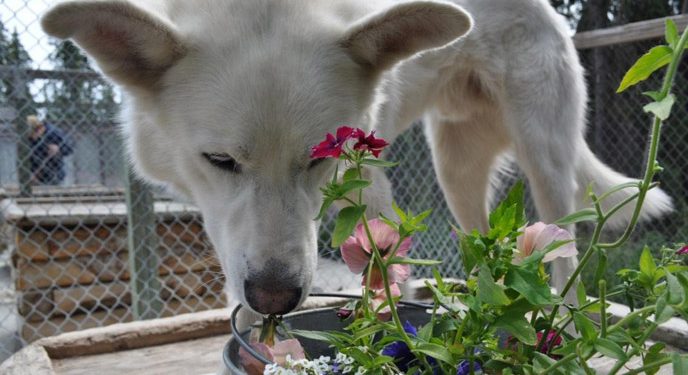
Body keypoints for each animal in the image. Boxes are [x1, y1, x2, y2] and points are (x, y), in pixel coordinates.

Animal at [40, 0, 668, 318]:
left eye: (320, 158)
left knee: (564, 252)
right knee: (484, 242)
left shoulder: (366, 182)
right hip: (456, 171)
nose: (276, 297)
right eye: (218, 160)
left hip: (546, 160)